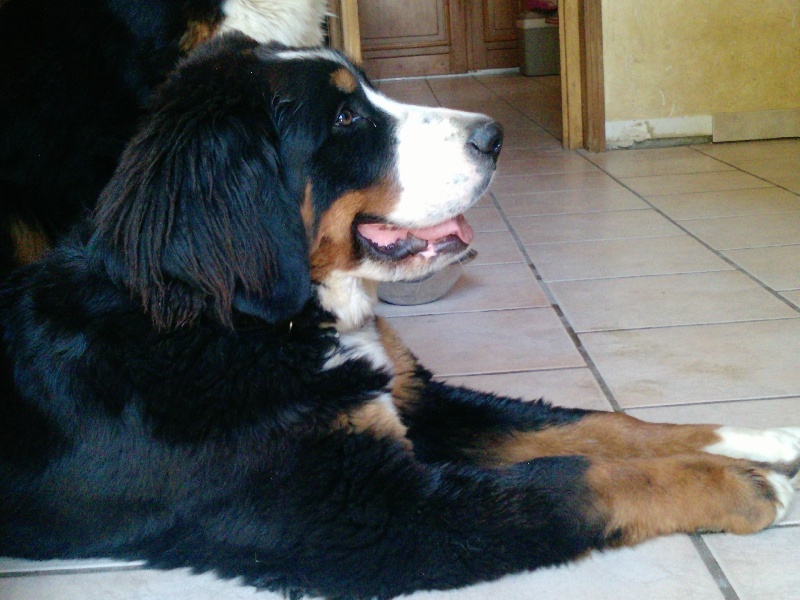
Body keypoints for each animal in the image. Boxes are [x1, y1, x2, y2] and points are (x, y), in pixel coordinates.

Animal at [1, 35, 799, 600]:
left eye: (368, 92)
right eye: (346, 116)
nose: (495, 135)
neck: (264, 326)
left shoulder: (422, 401)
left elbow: (603, 425)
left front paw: (759, 440)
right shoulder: (371, 514)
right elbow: (576, 480)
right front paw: (742, 485)